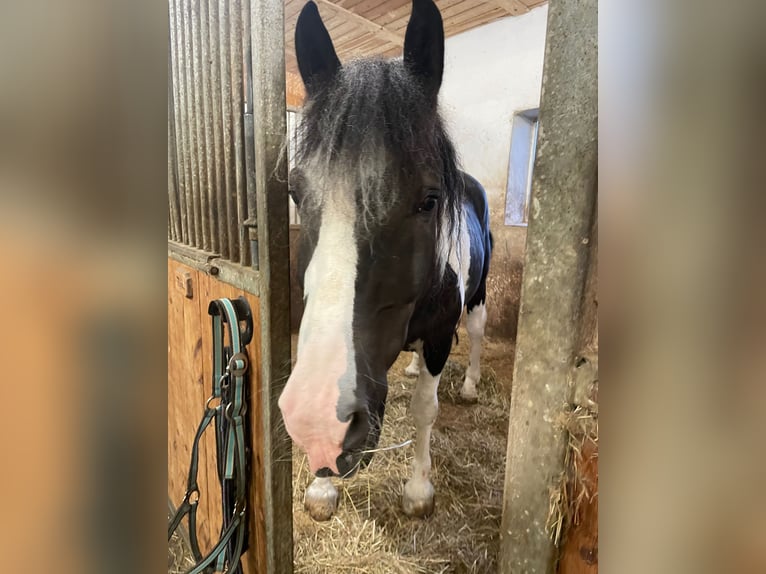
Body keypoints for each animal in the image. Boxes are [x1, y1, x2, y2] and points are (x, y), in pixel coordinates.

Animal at [280, 0, 496, 520]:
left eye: (429, 200)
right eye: (296, 192)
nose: (319, 421)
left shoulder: (439, 334)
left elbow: (424, 410)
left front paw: (418, 490)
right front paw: (321, 488)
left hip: (478, 298)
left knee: (478, 335)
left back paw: (470, 385)